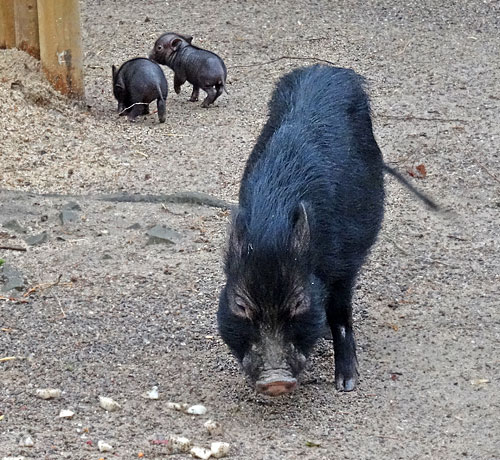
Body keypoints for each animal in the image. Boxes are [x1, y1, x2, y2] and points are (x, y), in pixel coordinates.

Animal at [217, 64, 384, 396]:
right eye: (241, 306)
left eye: (298, 303)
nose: (275, 382)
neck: (272, 222)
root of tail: (327, 69)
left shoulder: (344, 262)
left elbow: (341, 313)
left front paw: (346, 385)